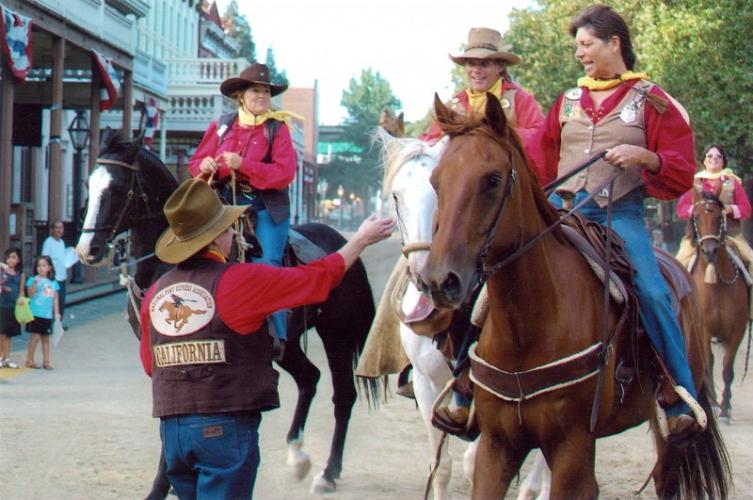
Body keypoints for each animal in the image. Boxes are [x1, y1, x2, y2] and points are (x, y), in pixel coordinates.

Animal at [76, 130, 376, 496]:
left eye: (117, 188)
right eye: (89, 185)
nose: (87, 250)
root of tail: (339, 242)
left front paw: (162, 486)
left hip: (338, 336)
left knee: (343, 395)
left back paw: (329, 473)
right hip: (288, 345)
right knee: (310, 378)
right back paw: (297, 457)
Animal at [418, 95, 728, 498]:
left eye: (492, 179)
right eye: (436, 181)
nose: (440, 280)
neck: (528, 327)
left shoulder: (572, 449)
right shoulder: (497, 446)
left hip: (667, 433)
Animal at [688, 188, 748, 422]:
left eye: (718, 217)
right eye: (696, 217)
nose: (710, 251)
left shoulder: (737, 330)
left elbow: (727, 368)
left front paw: (725, 407)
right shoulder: (703, 330)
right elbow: (709, 362)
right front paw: (714, 402)